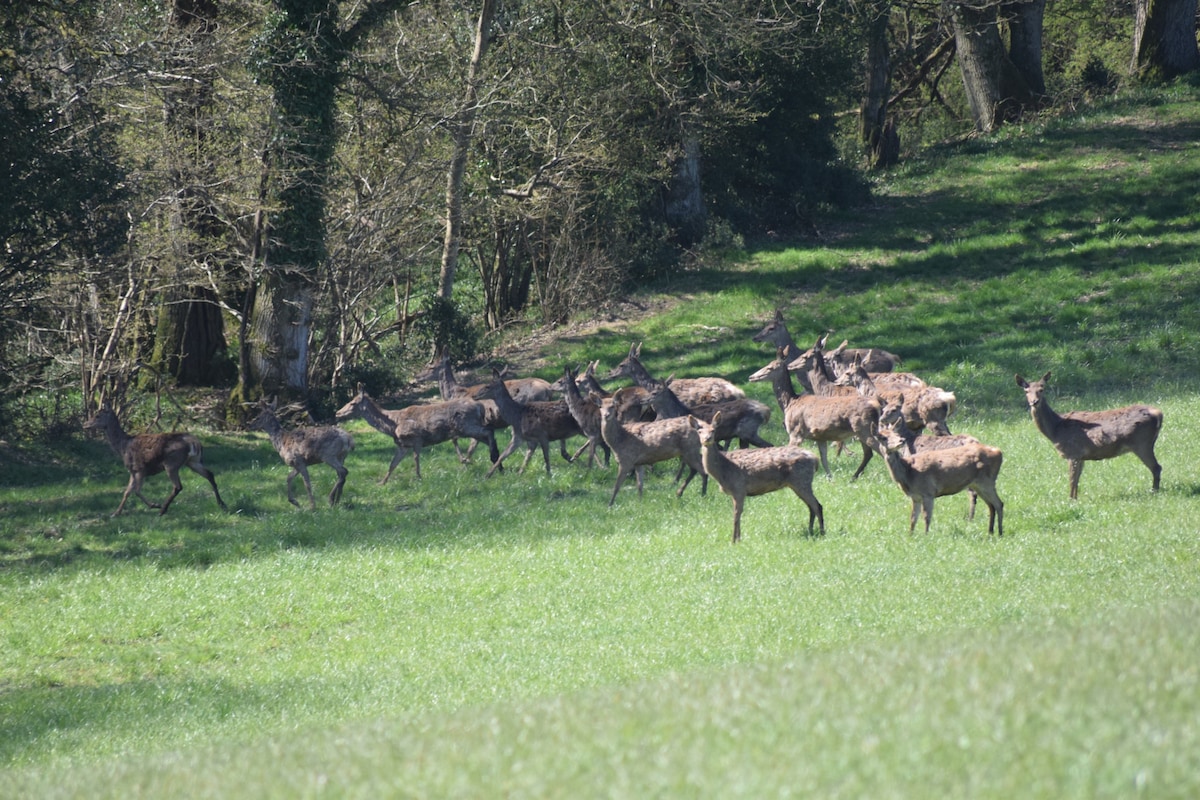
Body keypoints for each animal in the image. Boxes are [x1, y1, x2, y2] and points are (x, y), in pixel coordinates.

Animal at [84, 402, 226, 515]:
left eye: (97, 415)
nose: (85, 424)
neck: (123, 447)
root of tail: (194, 442)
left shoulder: (139, 468)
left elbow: (136, 490)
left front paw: (154, 505)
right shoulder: (133, 471)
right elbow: (127, 491)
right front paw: (116, 513)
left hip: (172, 463)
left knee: (178, 486)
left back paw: (162, 509)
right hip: (193, 461)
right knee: (210, 474)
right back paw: (221, 503)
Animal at [336, 383, 494, 484]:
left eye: (352, 403)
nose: (337, 412)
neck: (393, 425)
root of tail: (480, 406)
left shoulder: (417, 439)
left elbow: (416, 459)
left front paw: (418, 478)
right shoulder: (402, 445)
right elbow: (392, 464)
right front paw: (382, 482)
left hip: (467, 425)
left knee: (488, 432)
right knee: (485, 438)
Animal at [691, 412, 820, 544]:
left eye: (713, 430)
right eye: (699, 431)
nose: (707, 439)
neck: (723, 471)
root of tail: (815, 459)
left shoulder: (739, 488)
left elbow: (736, 514)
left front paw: (734, 541)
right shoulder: (737, 492)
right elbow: (738, 514)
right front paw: (738, 538)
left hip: (801, 480)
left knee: (817, 505)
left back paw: (822, 532)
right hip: (799, 483)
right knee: (811, 506)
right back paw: (811, 530)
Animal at [1012, 371, 1161, 496]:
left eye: (1041, 389)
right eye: (1026, 391)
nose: (1034, 402)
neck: (1055, 429)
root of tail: (1158, 413)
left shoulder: (1073, 452)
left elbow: (1072, 482)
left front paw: (1070, 502)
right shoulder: (1081, 457)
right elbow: (1077, 482)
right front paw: (1075, 500)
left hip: (1142, 443)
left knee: (1156, 467)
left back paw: (1154, 492)